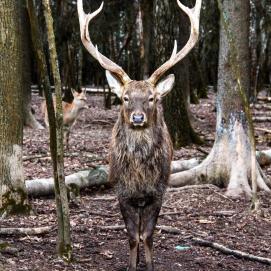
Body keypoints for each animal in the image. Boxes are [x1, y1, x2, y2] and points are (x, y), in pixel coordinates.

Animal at [77, 0, 202, 270]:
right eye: (125, 98)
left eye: (151, 98)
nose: (137, 117)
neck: (139, 176)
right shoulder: (121, 191)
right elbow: (133, 236)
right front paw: (131, 265)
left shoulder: (158, 191)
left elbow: (149, 235)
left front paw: (150, 264)